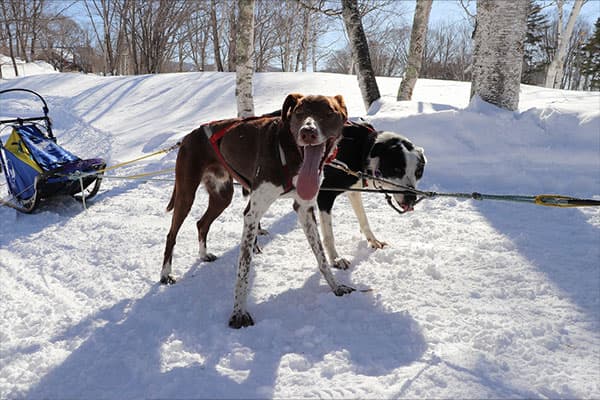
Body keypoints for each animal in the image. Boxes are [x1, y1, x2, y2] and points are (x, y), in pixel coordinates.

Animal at [159, 94, 352, 328]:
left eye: (328, 112)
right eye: (299, 112)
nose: (308, 132)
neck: (288, 151)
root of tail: (188, 136)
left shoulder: (304, 208)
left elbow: (321, 256)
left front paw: (336, 286)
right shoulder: (252, 214)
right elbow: (244, 268)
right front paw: (239, 313)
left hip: (222, 196)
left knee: (201, 223)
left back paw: (204, 255)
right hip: (186, 195)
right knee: (172, 234)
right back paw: (166, 274)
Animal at [318, 120, 426, 268]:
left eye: (418, 172)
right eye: (397, 169)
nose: (411, 198)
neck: (361, 148)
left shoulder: (354, 191)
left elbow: (364, 220)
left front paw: (373, 240)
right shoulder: (324, 194)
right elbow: (329, 235)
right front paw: (335, 258)